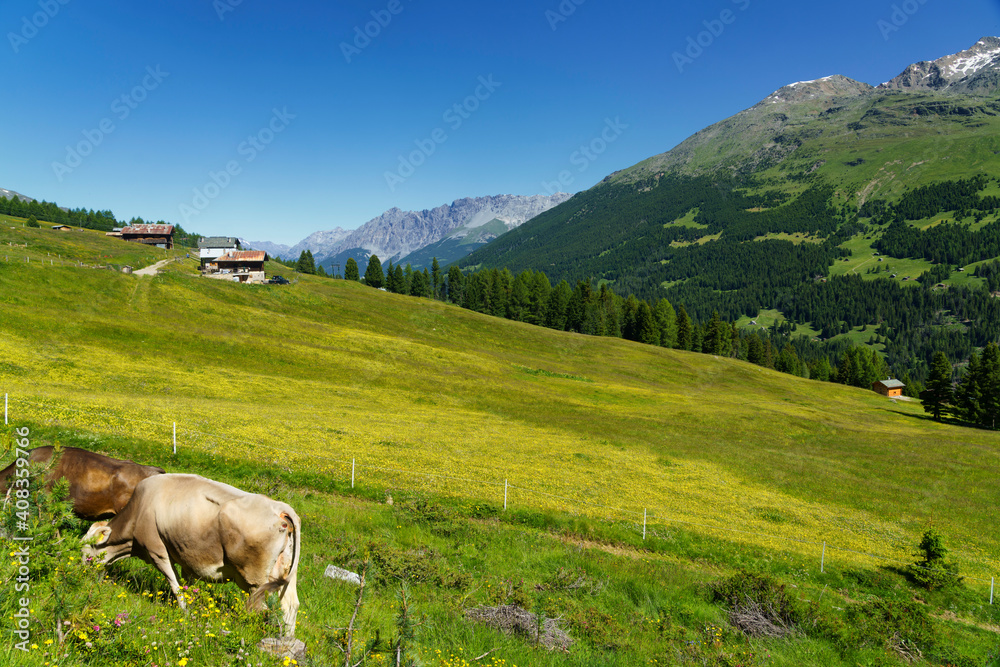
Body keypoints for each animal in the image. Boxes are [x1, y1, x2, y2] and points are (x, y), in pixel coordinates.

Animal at [83, 474, 300, 636]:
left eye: (85, 554)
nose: (82, 576)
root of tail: (280, 507)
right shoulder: (188, 560)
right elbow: (188, 586)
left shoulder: (157, 551)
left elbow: (175, 585)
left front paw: (185, 613)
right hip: (284, 576)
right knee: (290, 606)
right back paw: (285, 641)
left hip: (254, 581)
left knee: (262, 608)